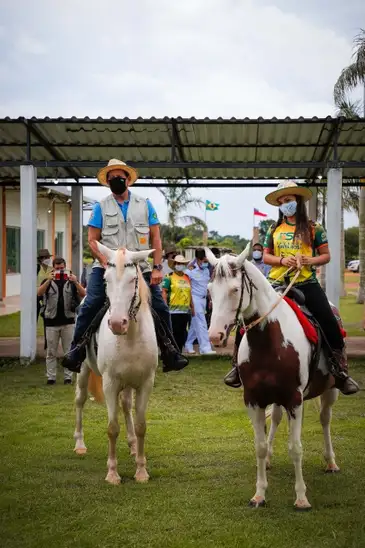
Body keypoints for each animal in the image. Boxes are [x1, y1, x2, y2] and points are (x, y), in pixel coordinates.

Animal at [72, 244, 158, 484]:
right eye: (106, 279)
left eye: (133, 279)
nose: (118, 323)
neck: (130, 338)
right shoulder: (109, 383)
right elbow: (112, 428)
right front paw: (112, 474)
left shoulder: (146, 383)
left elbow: (141, 426)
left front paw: (141, 470)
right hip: (83, 371)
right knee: (80, 400)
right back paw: (79, 444)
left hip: (128, 382)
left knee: (126, 406)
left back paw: (132, 446)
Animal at [203, 244, 340, 510]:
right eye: (210, 290)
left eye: (235, 290)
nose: (214, 336)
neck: (270, 341)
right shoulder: (253, 399)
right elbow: (259, 446)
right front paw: (259, 494)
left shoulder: (295, 399)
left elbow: (296, 448)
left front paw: (301, 498)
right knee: (276, 418)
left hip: (331, 390)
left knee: (325, 420)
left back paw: (331, 461)